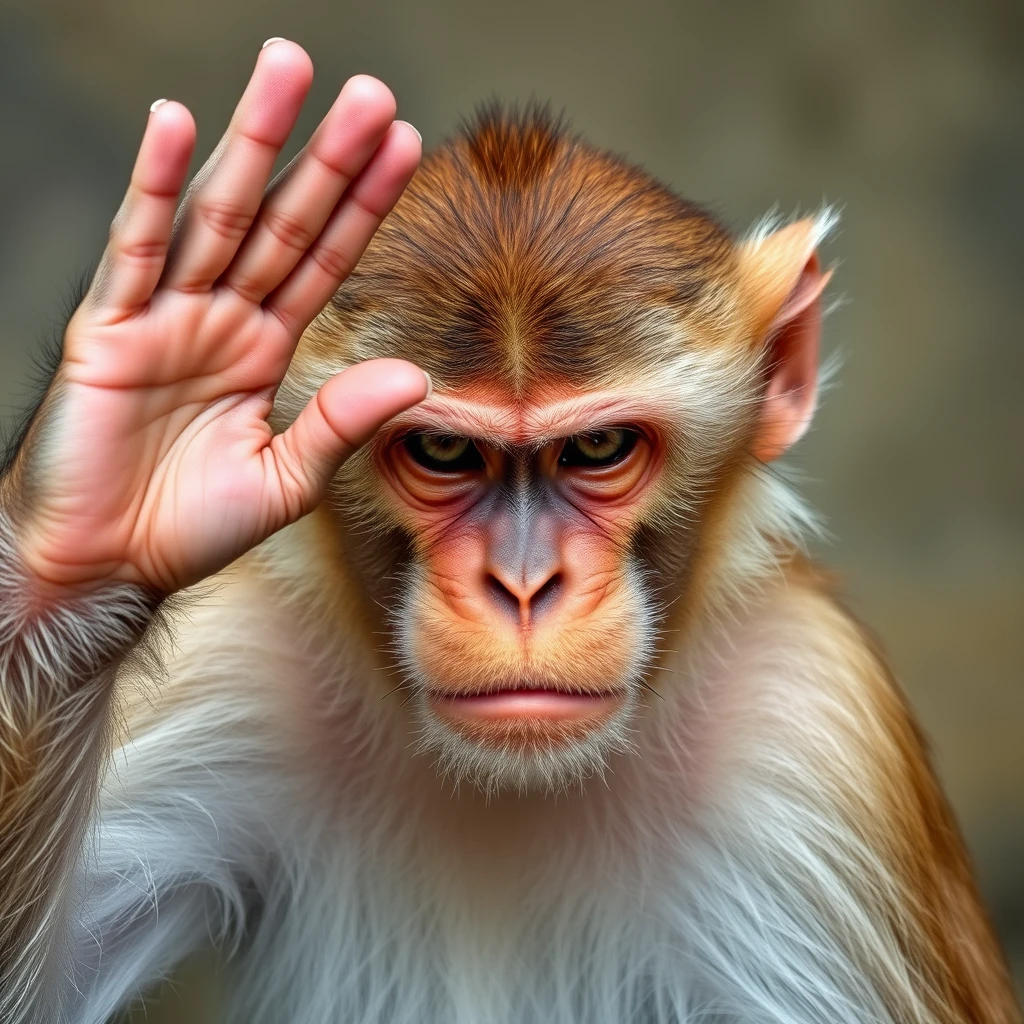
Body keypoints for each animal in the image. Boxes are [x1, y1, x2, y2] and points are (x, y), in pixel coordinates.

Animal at [0, 36, 1015, 1024]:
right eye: (444, 450)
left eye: (598, 446)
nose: (524, 588)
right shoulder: (233, 658)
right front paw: (129, 444)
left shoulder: (818, 726)